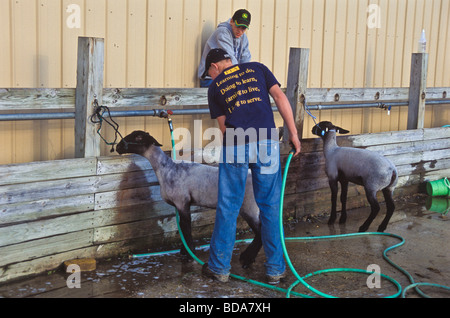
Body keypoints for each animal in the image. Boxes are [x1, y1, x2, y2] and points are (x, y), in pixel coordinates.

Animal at [116, 130, 262, 268]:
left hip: (249, 207)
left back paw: (247, 258)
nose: (118, 147)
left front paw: (189, 254)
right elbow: (182, 227)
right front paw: (185, 251)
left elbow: (186, 228)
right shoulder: (180, 204)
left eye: (138, 137)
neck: (166, 169)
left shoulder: (182, 202)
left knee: (261, 231)